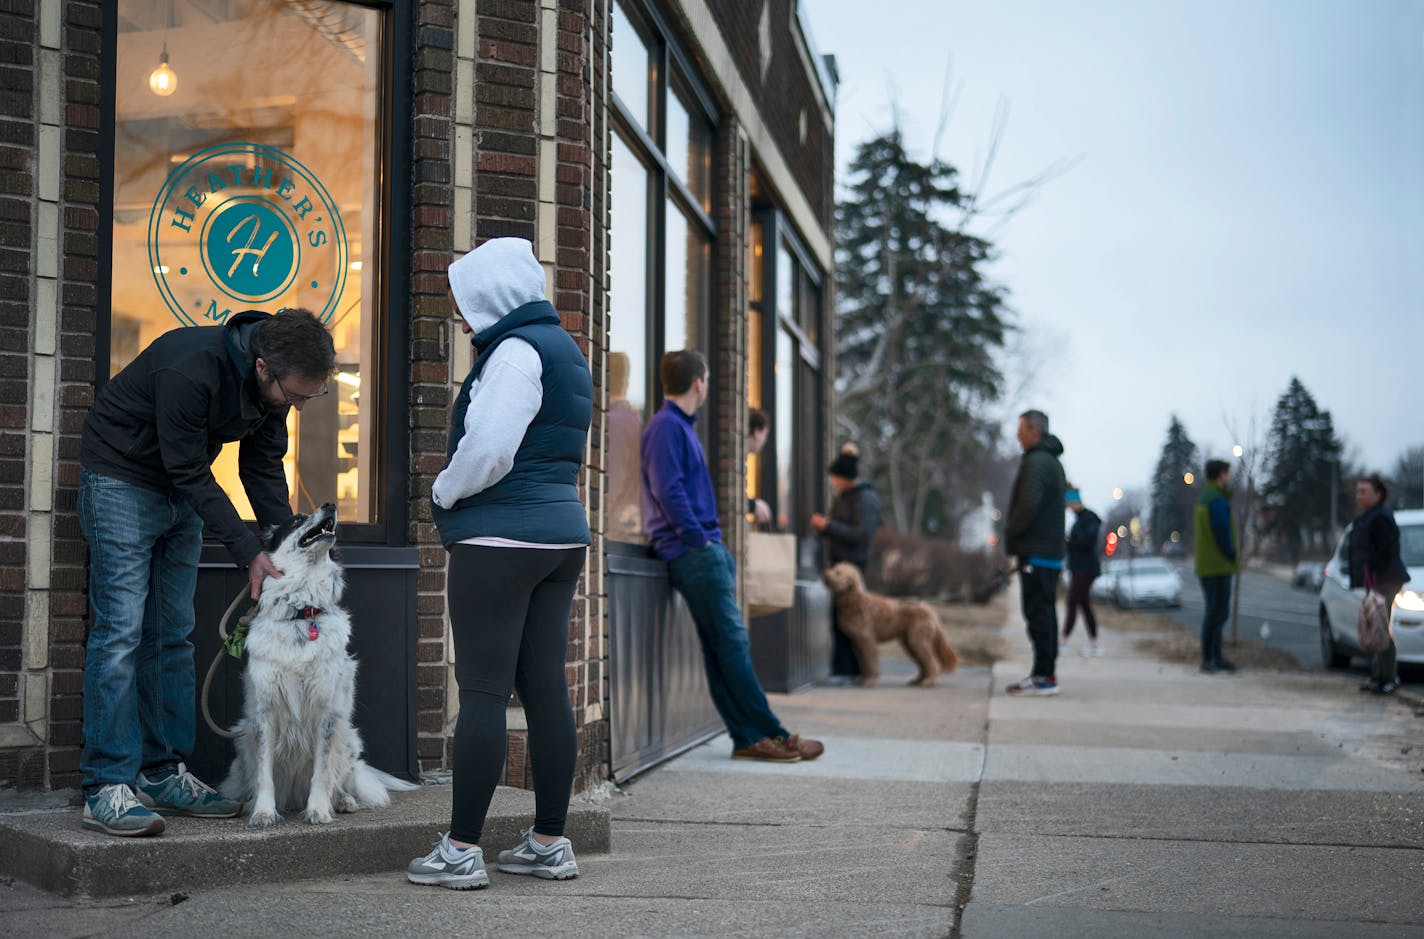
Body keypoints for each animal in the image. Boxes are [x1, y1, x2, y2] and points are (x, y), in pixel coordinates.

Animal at [219, 504, 415, 826]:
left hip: (348, 738)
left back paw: (344, 801)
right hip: (244, 736)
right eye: (296, 519)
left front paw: (318, 810)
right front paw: (262, 812)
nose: (330, 505)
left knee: (341, 778)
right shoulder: (263, 714)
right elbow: (263, 773)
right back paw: (249, 803)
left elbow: (322, 772)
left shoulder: (327, 713)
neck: (302, 613)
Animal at [825, 561, 956, 686]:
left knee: (932, 662)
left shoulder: (867, 639)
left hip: (918, 640)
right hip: (910, 643)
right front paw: (863, 679)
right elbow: (863, 662)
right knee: (923, 664)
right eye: (834, 568)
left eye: (839, 573)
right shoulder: (857, 643)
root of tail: (929, 608)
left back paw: (928, 681)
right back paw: (918, 680)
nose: (826, 575)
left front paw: (870, 680)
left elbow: (870, 662)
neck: (853, 600)